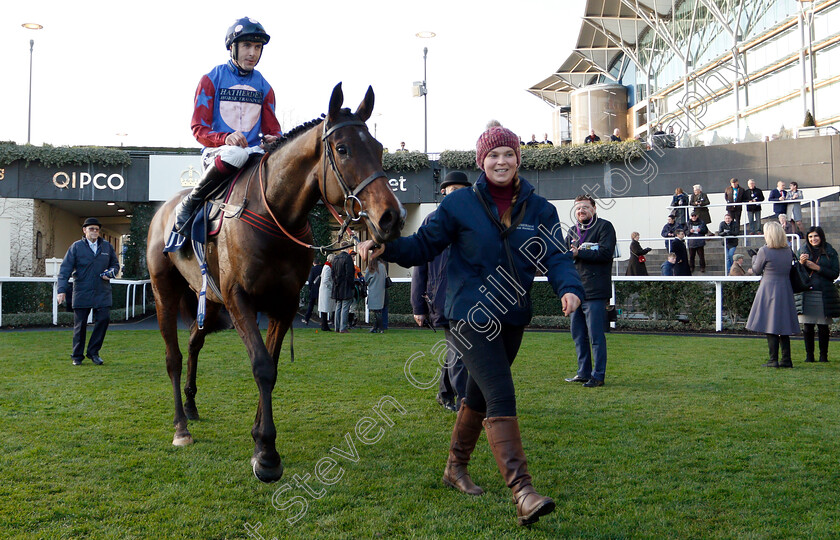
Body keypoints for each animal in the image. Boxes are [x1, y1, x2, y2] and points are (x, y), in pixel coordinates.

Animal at [146, 83, 406, 480]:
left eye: (377, 148)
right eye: (343, 149)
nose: (392, 216)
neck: (273, 215)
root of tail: (164, 208)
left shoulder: (283, 304)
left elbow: (272, 365)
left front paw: (259, 439)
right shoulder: (240, 298)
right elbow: (261, 366)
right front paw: (267, 454)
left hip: (211, 301)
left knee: (193, 343)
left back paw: (191, 406)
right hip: (165, 292)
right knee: (173, 356)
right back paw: (181, 427)